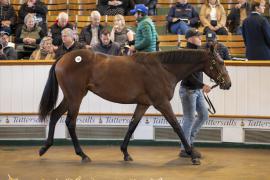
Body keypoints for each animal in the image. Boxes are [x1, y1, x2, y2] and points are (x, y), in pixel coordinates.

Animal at [39, 43, 231, 165]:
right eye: (220, 62)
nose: (228, 84)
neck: (163, 68)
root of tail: (64, 58)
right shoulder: (161, 103)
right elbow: (177, 126)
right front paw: (192, 156)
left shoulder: (143, 104)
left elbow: (132, 125)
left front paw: (125, 153)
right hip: (76, 97)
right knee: (70, 122)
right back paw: (82, 155)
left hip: (71, 97)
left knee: (55, 115)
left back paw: (45, 148)